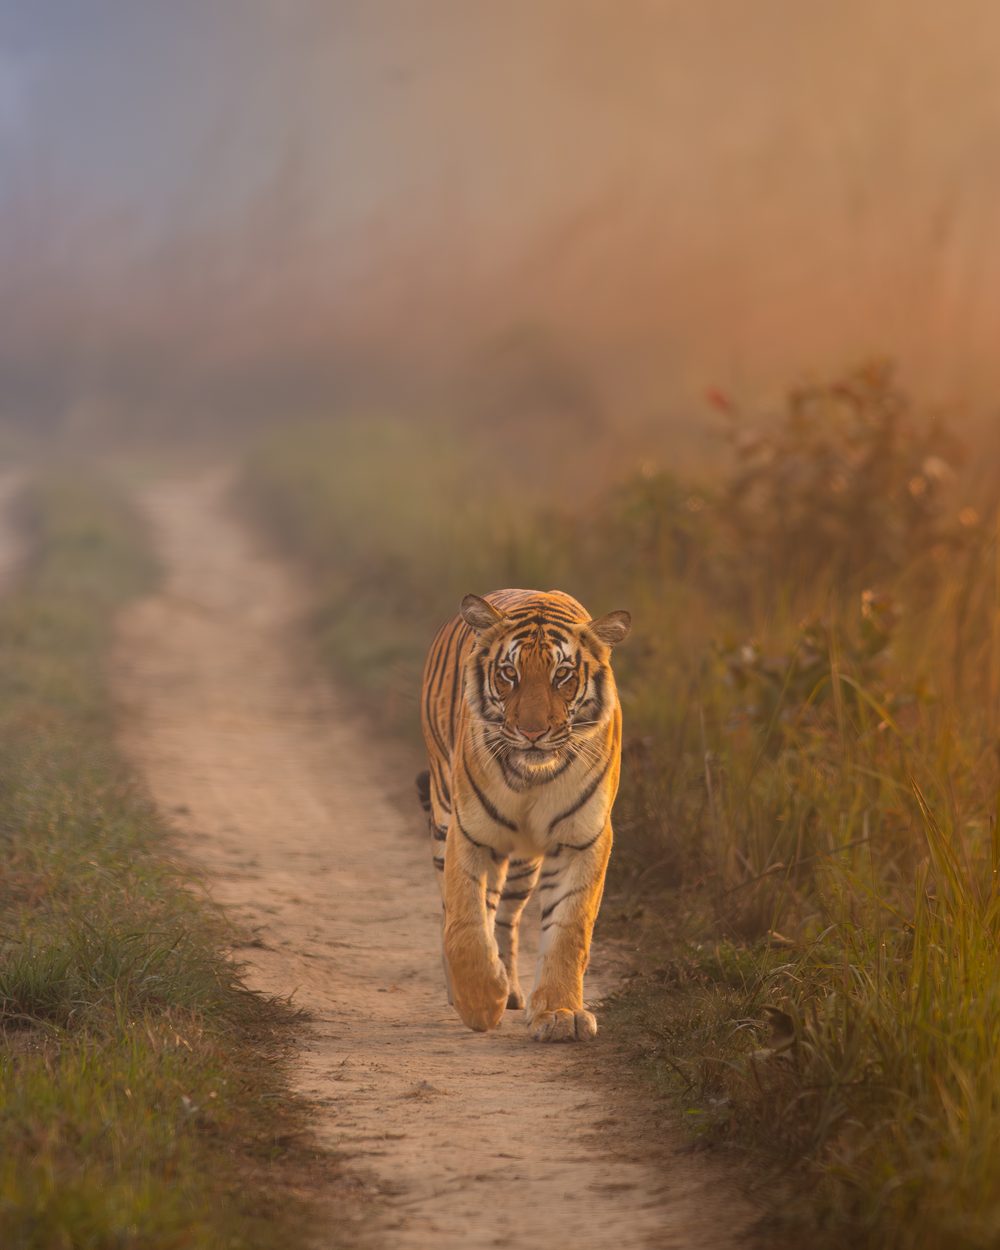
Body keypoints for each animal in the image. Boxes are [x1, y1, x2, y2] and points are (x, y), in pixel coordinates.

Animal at [419, 588, 631, 1042]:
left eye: (562, 676)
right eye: (509, 674)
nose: (533, 733)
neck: (533, 777)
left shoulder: (581, 840)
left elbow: (569, 930)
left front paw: (561, 1014)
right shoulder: (470, 833)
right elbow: (466, 923)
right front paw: (481, 1003)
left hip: (523, 866)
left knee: (505, 918)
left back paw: (512, 987)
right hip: (443, 814)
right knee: (458, 911)